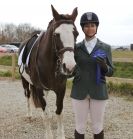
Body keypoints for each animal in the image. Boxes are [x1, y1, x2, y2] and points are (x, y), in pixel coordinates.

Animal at [17, 4, 78, 138]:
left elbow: (59, 112)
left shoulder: (61, 88)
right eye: (56, 34)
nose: (69, 66)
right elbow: (47, 114)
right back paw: (29, 115)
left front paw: (61, 135)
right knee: (28, 96)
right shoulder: (39, 88)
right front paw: (49, 134)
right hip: (25, 82)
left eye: (76, 34)